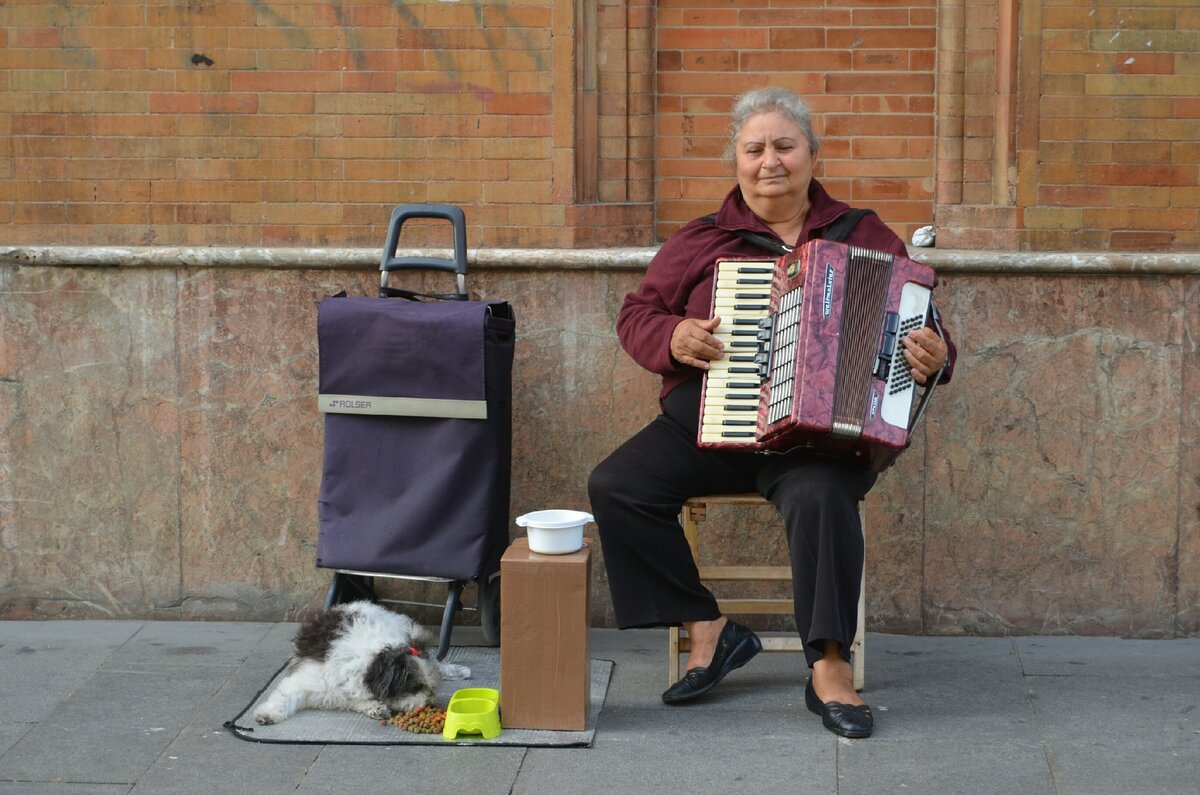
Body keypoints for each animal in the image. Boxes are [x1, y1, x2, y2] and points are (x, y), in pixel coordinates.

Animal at [253, 600, 468, 725]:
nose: (430, 704)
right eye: (415, 687)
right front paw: (266, 714)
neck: (368, 664)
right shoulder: (309, 680)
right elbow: (284, 696)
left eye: (431, 688)